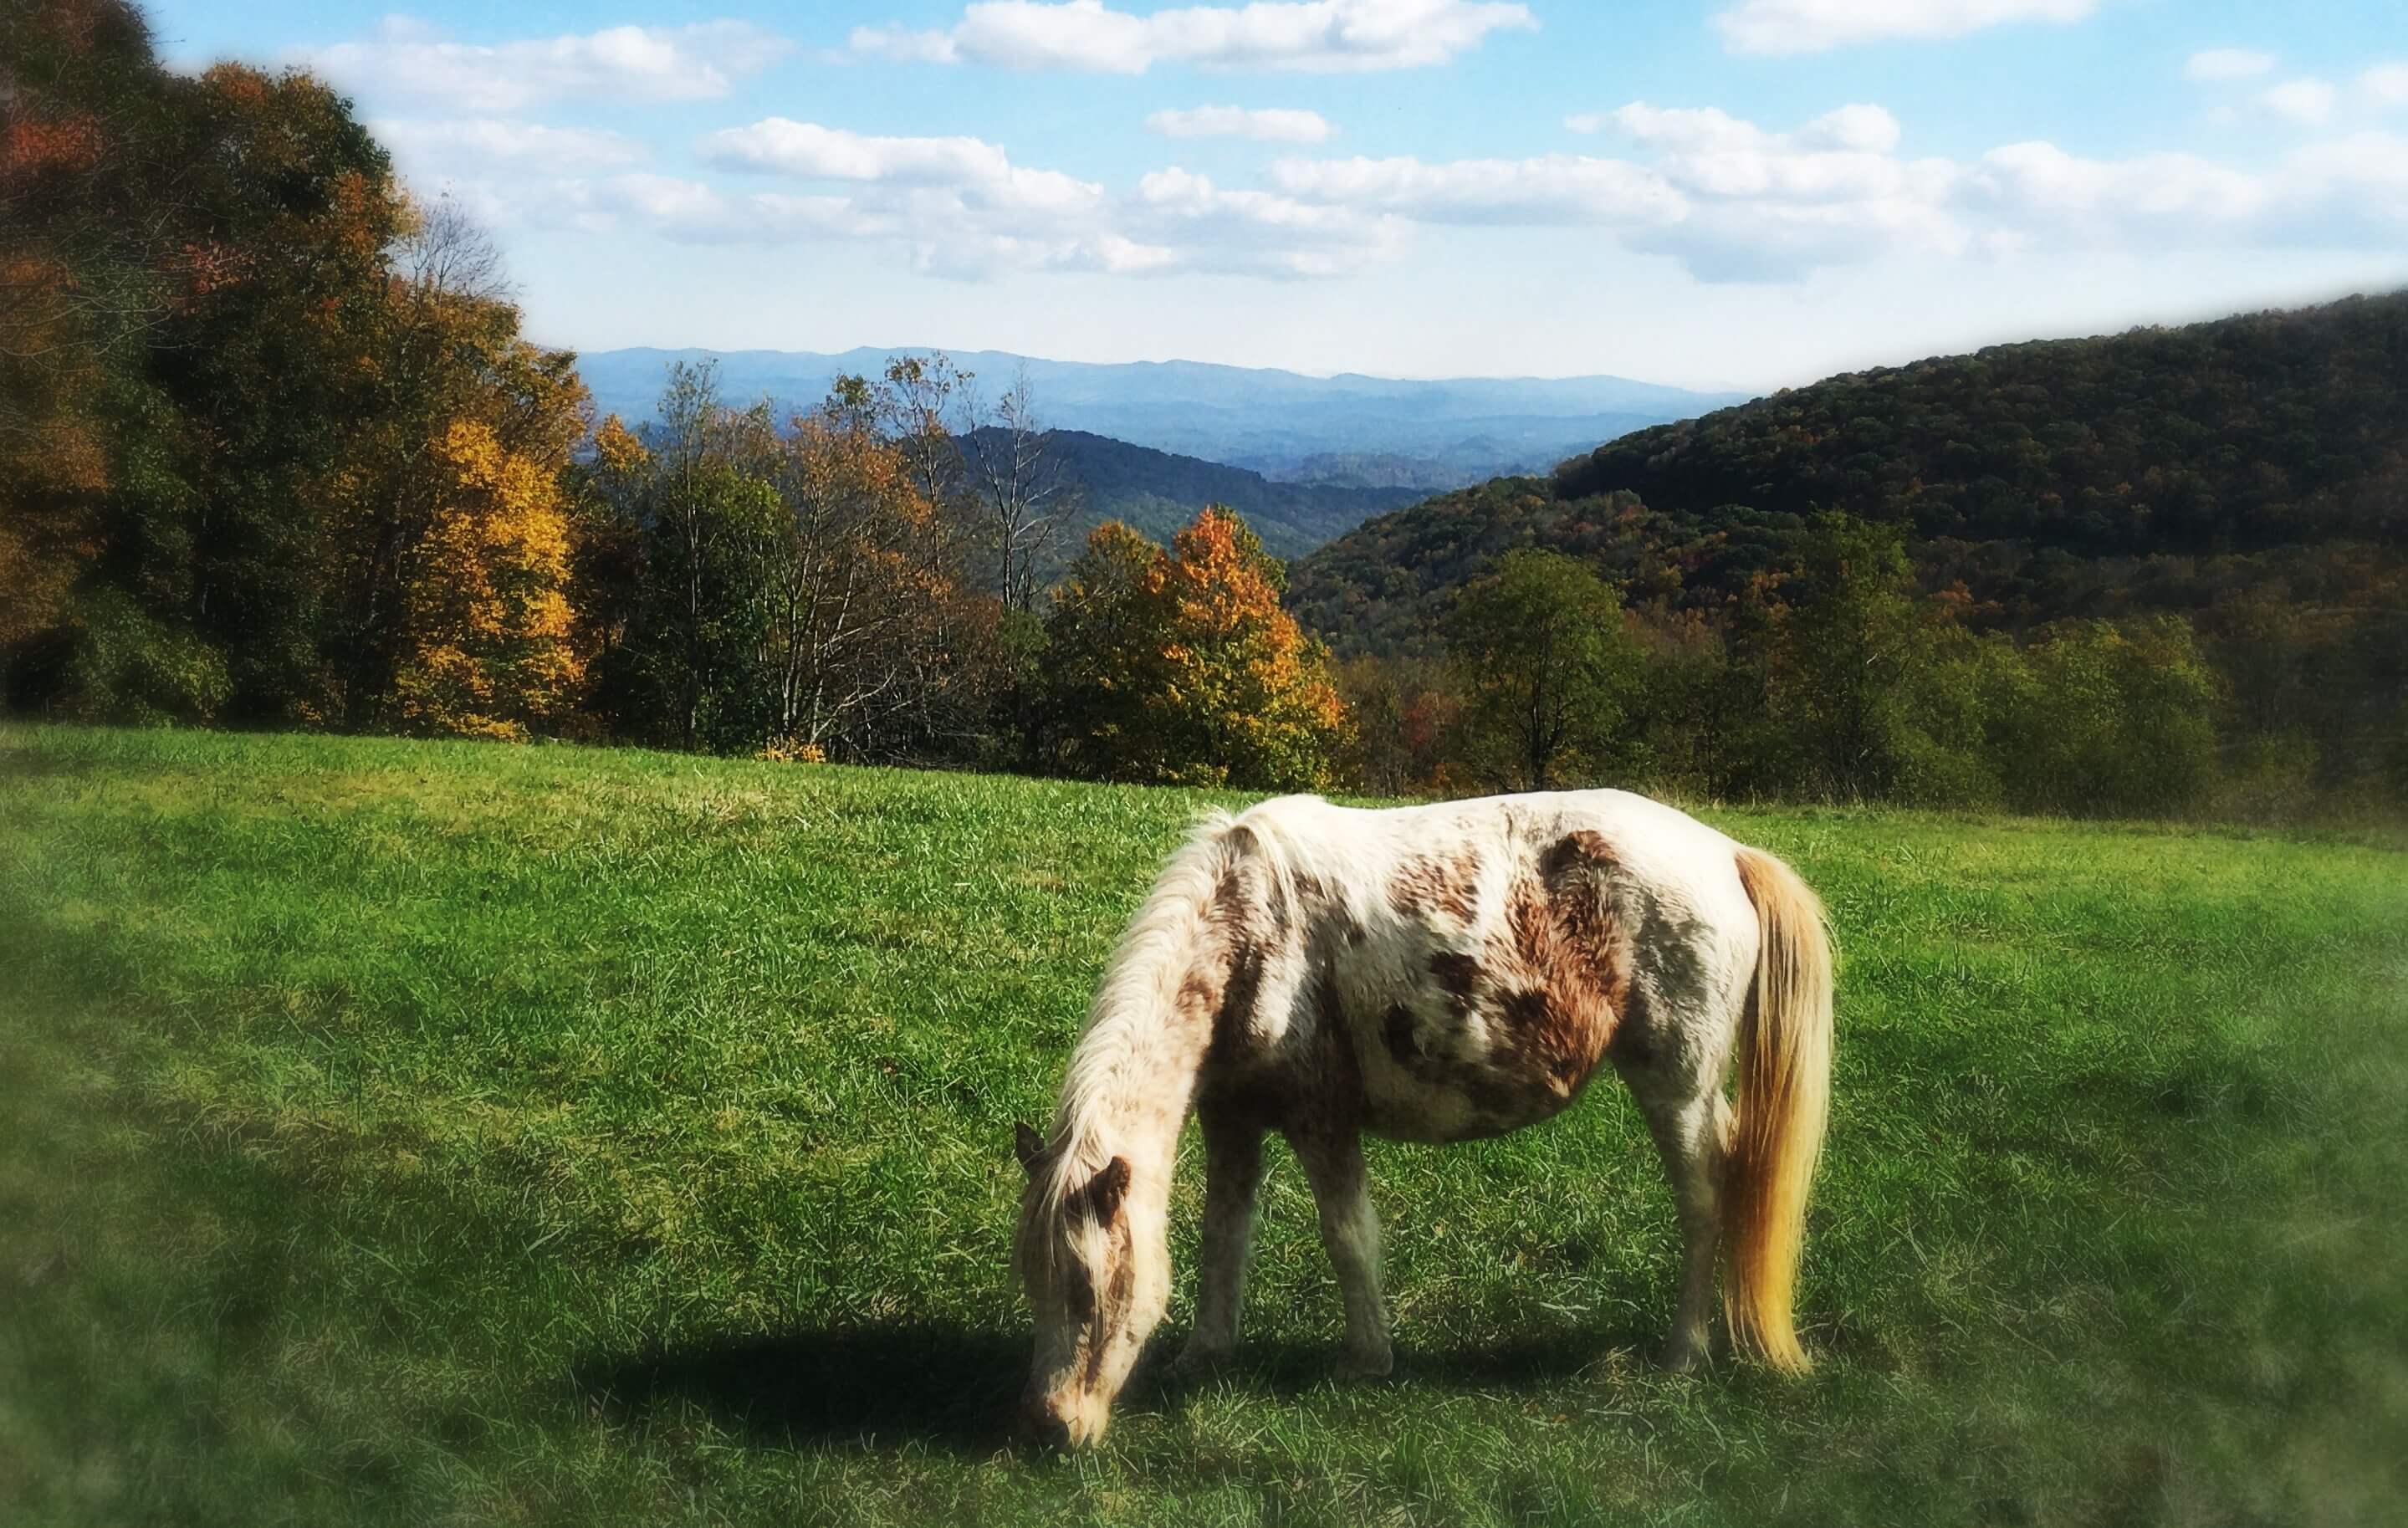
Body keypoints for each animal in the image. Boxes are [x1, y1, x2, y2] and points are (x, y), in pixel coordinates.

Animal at [1006, 794, 1830, 1453]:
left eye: (1085, 1291)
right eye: (1034, 1284)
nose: (1052, 1425)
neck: (1249, 927)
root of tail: (1728, 854)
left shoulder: (1321, 1115)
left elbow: (1347, 1236)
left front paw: (1366, 1361)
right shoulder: (1231, 1117)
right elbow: (1222, 1236)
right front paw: (1205, 1353)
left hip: (1676, 1084)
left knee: (1704, 1201)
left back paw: (1683, 1351)